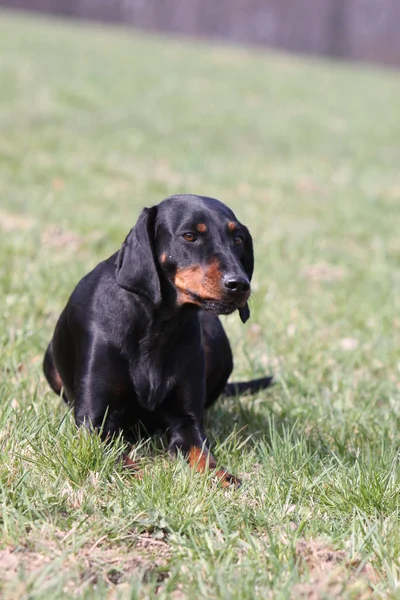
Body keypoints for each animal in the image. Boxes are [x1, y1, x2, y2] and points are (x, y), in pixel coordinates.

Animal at [43, 195, 272, 486]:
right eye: (189, 236)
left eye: (238, 238)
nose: (239, 284)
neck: (157, 327)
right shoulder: (94, 421)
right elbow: (119, 460)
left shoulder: (186, 421)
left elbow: (203, 456)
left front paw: (223, 478)